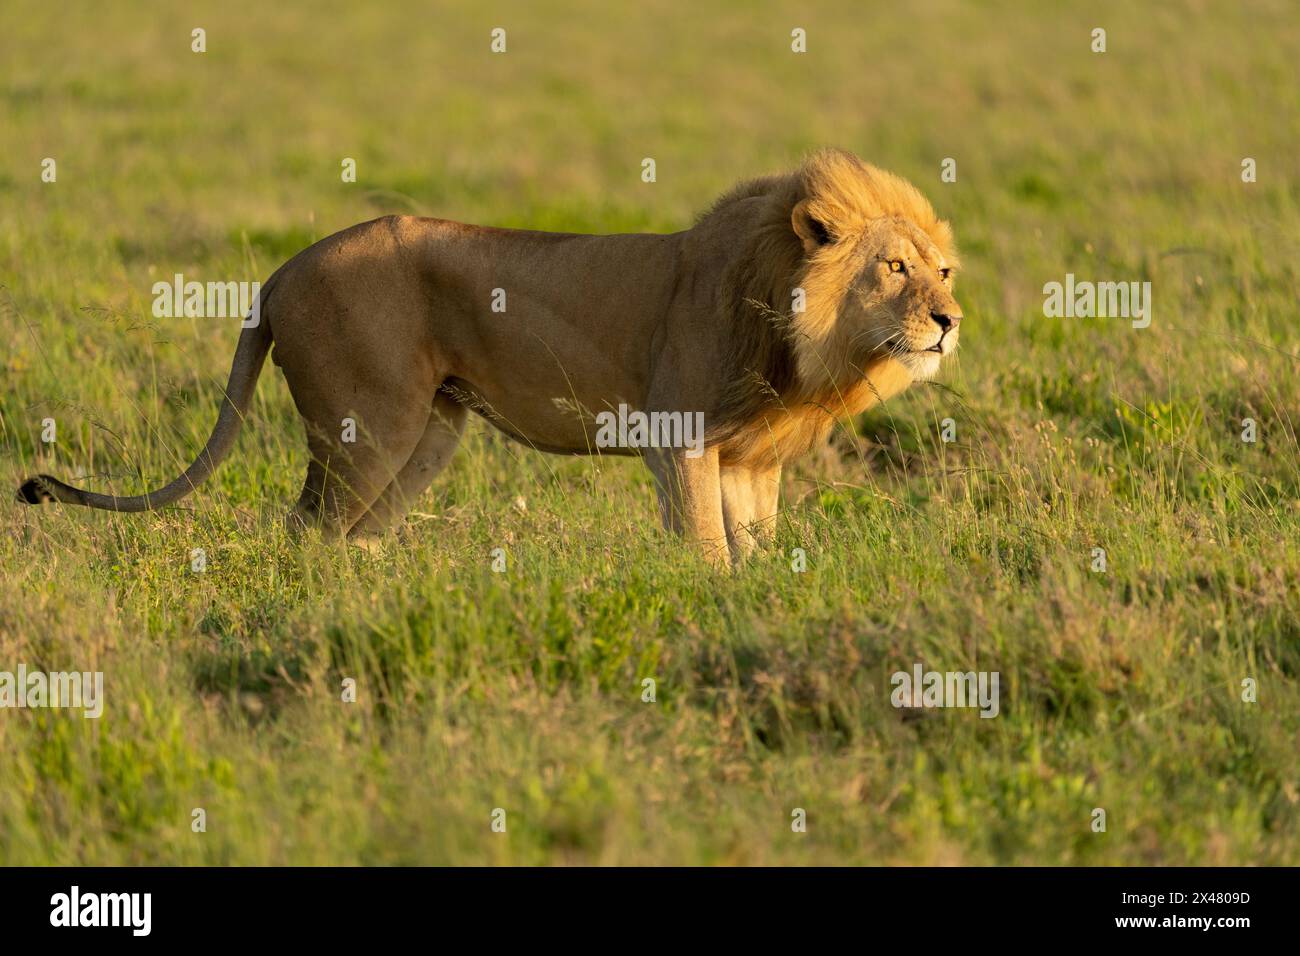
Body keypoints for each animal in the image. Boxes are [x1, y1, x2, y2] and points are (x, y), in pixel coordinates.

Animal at [15, 148, 961, 564]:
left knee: (353, 536)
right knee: (306, 530)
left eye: (942, 269)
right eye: (894, 268)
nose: (949, 321)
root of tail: (284, 268)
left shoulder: (749, 459)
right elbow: (704, 547)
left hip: (429, 437)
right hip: (370, 427)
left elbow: (754, 545)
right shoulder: (678, 435)